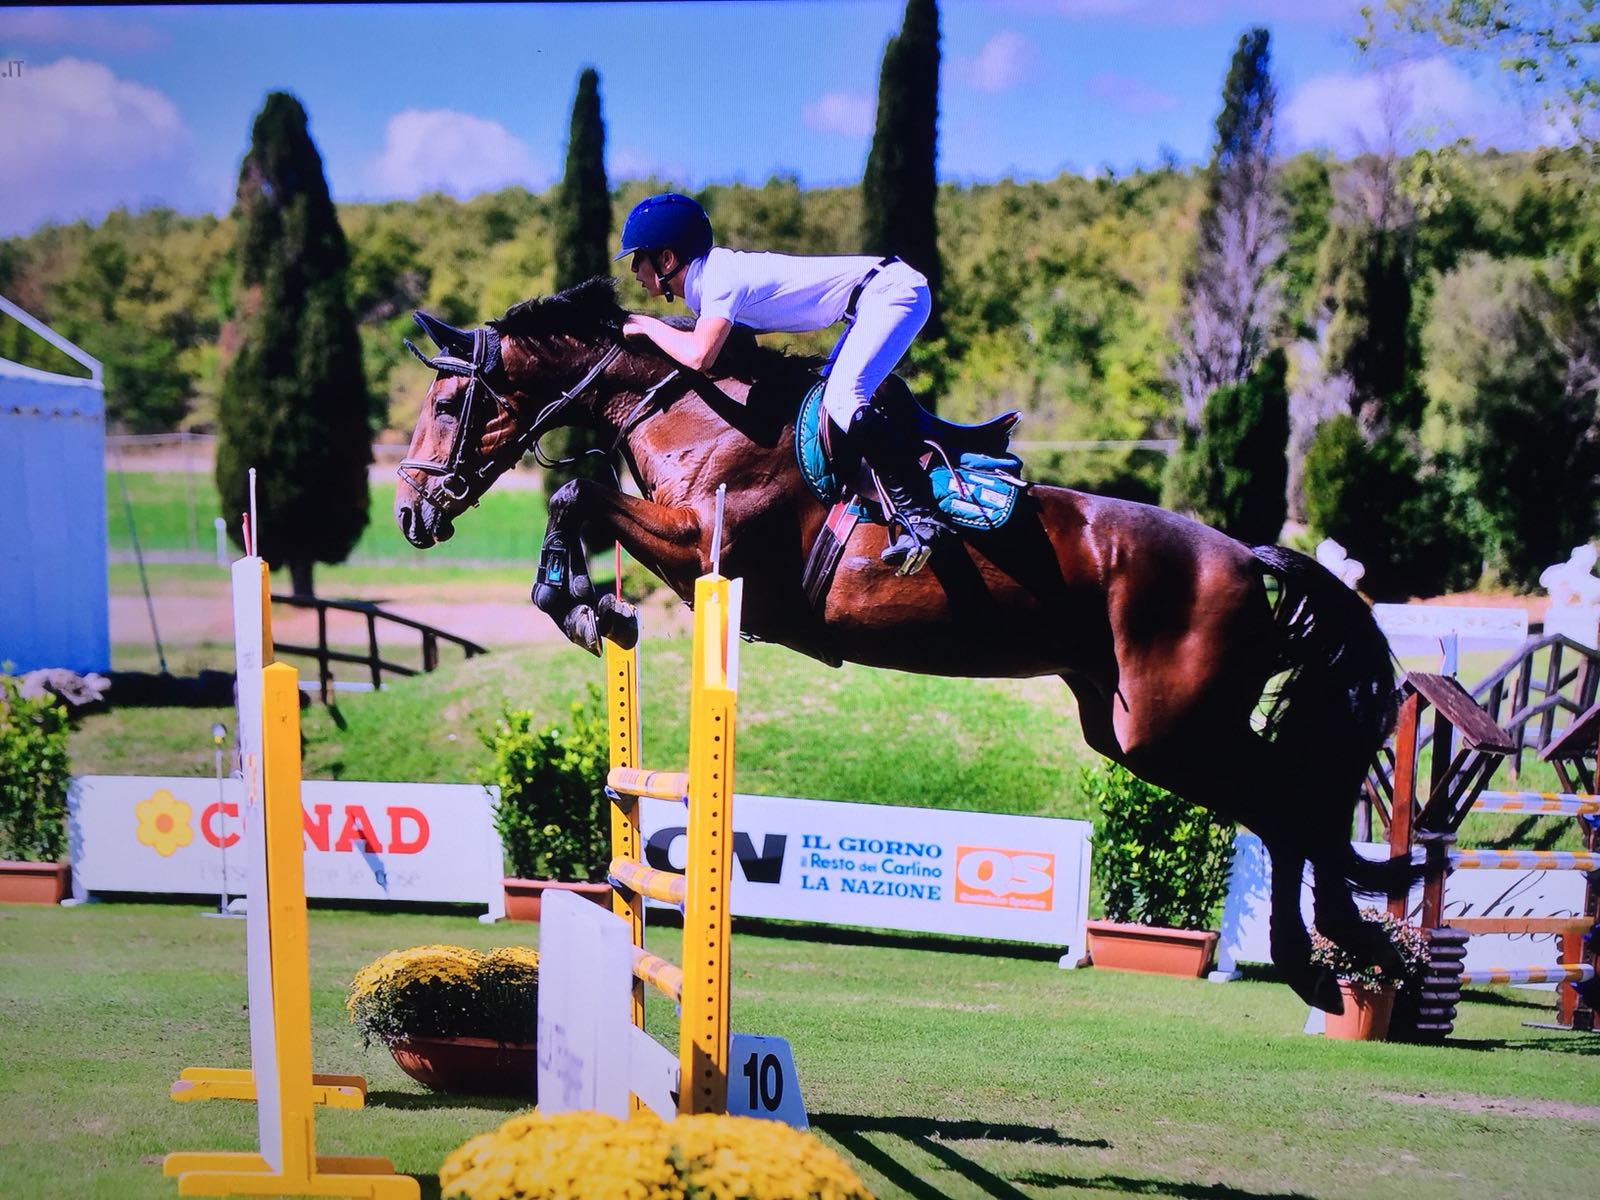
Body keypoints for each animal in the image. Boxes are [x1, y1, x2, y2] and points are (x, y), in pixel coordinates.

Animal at [395, 277, 1417, 1014]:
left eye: (447, 403)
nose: (411, 513)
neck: (692, 412)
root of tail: (1244, 556)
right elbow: (579, 501)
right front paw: (580, 606)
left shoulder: (709, 552)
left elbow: (578, 494)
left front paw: (576, 605)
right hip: (1133, 731)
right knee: (1286, 804)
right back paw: (1340, 953)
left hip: (1176, 728)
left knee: (1289, 803)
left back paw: (1336, 955)